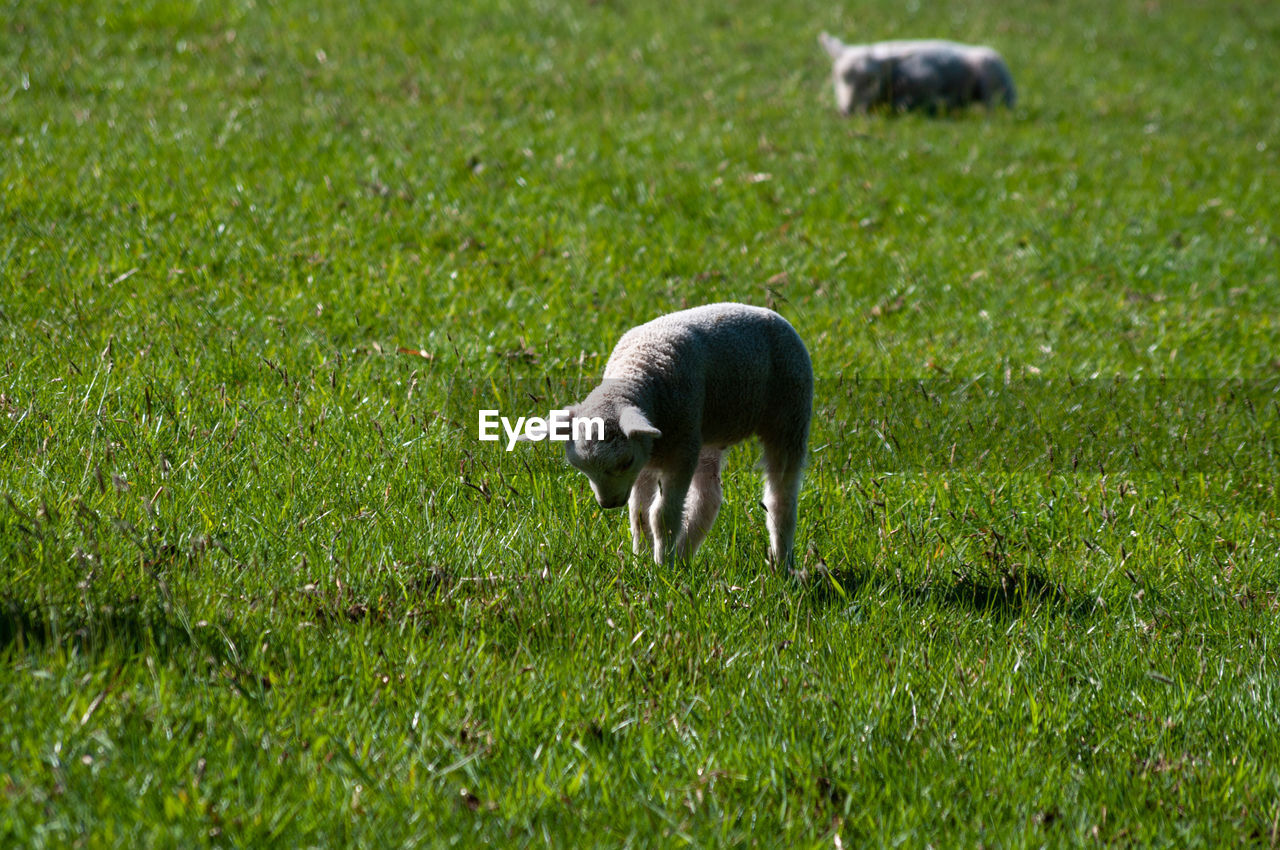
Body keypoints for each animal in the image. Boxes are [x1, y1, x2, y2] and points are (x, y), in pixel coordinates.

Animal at [555, 302, 814, 568]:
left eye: (625, 462)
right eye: (581, 467)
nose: (609, 504)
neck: (636, 372)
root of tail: (765, 311)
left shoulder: (677, 453)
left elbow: (661, 515)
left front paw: (661, 567)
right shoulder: (647, 453)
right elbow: (639, 514)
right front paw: (641, 562)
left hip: (790, 414)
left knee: (781, 498)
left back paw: (782, 564)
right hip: (704, 431)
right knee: (708, 497)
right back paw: (683, 557)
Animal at [819, 32, 1018, 114]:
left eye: (870, 80)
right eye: (837, 77)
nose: (847, 111)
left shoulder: (928, 78)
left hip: (991, 77)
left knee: (992, 106)